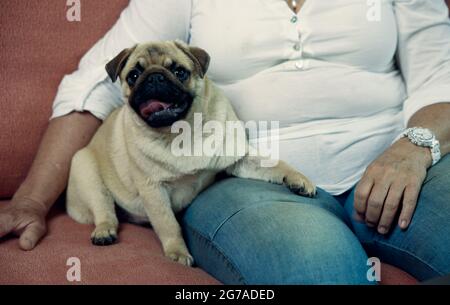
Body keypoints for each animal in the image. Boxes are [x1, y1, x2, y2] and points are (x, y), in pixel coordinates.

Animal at [67, 39, 314, 264]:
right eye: (133, 76)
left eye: (180, 72)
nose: (154, 77)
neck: (181, 132)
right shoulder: (153, 190)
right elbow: (168, 225)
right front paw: (177, 253)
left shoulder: (239, 158)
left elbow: (274, 164)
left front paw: (298, 179)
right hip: (86, 170)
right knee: (104, 210)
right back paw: (104, 231)